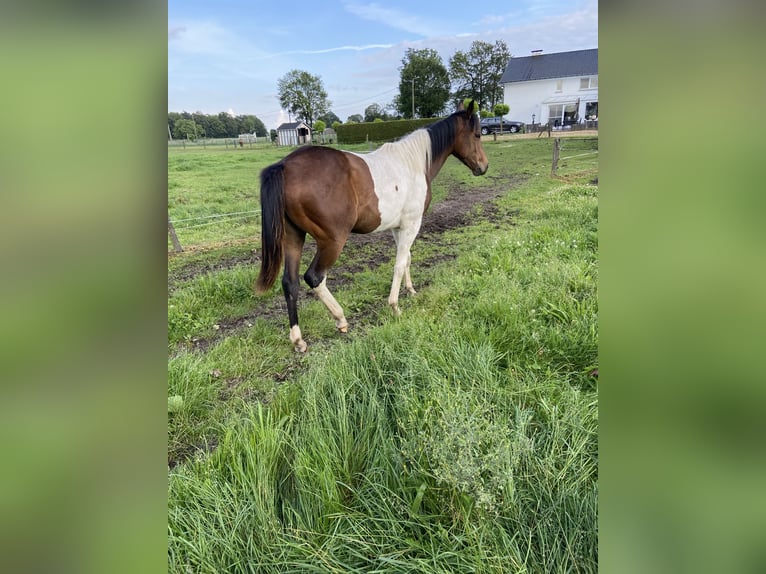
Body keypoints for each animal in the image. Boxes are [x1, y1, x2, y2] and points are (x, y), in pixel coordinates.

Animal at [255, 99, 488, 354]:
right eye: (477, 134)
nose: (484, 166)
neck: (413, 164)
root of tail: (285, 166)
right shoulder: (412, 224)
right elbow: (399, 264)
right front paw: (395, 306)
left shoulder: (399, 227)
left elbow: (407, 258)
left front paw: (410, 290)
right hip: (332, 241)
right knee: (315, 278)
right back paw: (340, 319)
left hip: (293, 238)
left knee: (291, 283)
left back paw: (298, 339)